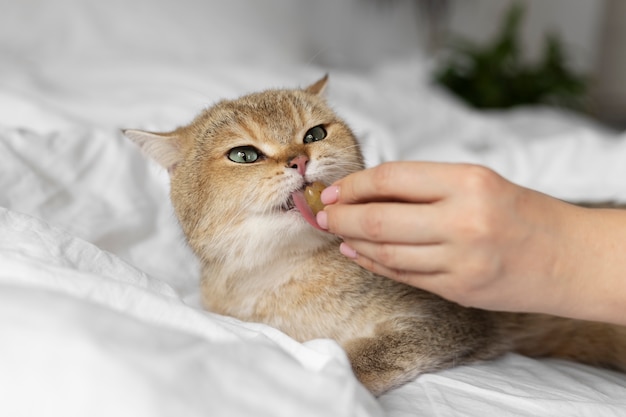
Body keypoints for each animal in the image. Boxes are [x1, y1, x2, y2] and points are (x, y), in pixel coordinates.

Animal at [123, 75, 624, 396]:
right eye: (243, 155)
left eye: (315, 133)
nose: (299, 160)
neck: (282, 276)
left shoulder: (452, 320)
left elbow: (364, 356)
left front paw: (336, 380)